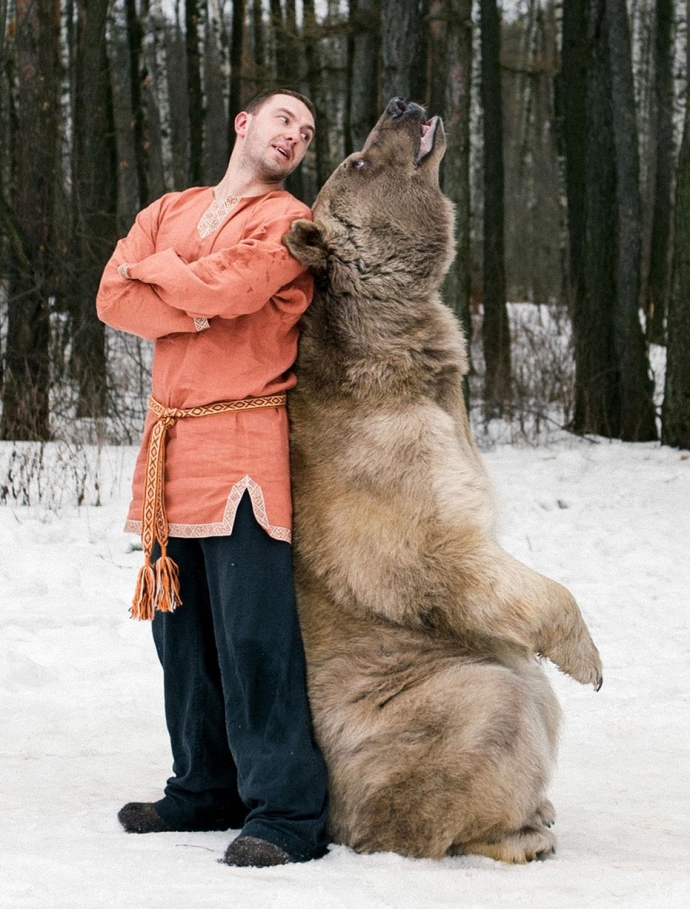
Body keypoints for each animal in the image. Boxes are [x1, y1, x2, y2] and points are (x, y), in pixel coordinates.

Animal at [283, 97, 602, 864]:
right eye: (359, 160)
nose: (401, 103)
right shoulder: (381, 460)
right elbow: (449, 555)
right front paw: (590, 659)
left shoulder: (450, 420)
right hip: (401, 709)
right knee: (501, 705)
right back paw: (521, 831)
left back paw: (539, 809)